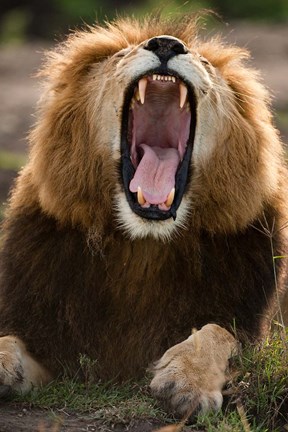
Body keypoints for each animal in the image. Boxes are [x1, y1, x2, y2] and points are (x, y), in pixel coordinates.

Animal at [0, 13, 288, 418]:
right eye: (122, 55)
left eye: (205, 63)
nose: (166, 44)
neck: (144, 244)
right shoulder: (46, 337)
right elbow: (9, 338)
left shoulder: (247, 323)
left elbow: (219, 332)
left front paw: (187, 379)